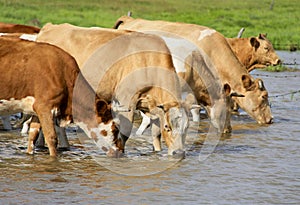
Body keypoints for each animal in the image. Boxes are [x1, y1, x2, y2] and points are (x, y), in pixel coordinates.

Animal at [36, 22, 189, 157]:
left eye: (186, 127)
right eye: (168, 127)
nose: (179, 153)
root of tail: (50, 27)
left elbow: (155, 134)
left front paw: (157, 152)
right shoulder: (126, 99)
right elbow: (125, 131)